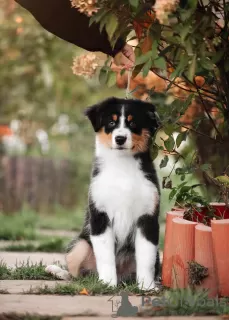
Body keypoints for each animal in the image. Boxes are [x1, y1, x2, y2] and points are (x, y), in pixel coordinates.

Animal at [64, 97, 161, 290]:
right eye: (111, 122)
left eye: (133, 123)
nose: (120, 138)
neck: (122, 165)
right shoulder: (100, 215)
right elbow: (105, 257)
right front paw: (108, 284)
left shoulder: (148, 217)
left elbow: (146, 258)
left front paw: (147, 287)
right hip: (80, 245)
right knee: (77, 274)